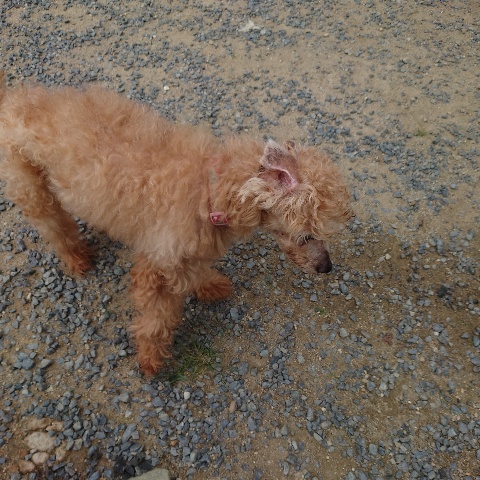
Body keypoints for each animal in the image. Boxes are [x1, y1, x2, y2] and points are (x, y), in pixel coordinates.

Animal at [0, 73, 352, 375]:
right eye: (308, 235)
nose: (327, 268)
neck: (212, 190)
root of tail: (14, 100)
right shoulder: (157, 266)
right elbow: (158, 320)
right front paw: (150, 359)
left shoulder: (186, 254)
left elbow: (196, 275)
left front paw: (210, 286)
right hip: (30, 185)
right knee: (56, 228)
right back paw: (76, 259)